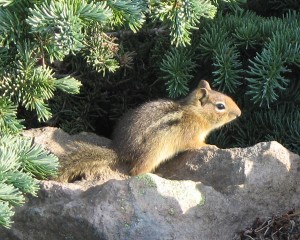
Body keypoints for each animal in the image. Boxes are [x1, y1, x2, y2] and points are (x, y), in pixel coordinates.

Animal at [56, 79, 241, 181]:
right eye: (220, 106)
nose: (239, 113)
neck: (195, 112)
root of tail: (120, 150)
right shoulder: (192, 135)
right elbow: (196, 144)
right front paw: (210, 146)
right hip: (153, 154)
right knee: (135, 172)